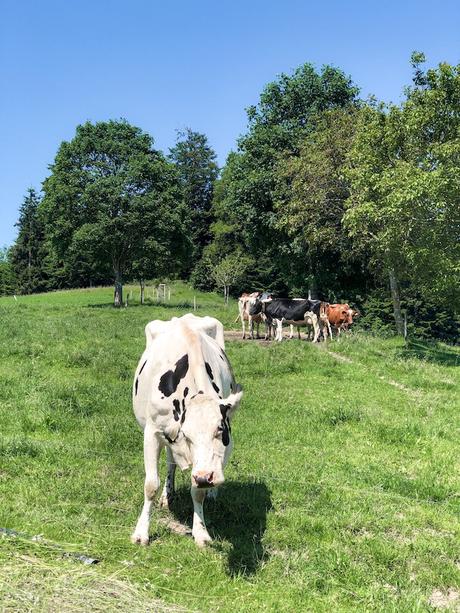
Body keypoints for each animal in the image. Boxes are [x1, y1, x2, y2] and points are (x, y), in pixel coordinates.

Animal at [131, 314, 243, 548]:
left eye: (220, 429)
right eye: (186, 435)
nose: (205, 478)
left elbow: (197, 493)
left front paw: (200, 532)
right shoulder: (152, 432)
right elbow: (151, 484)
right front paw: (141, 532)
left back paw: (212, 493)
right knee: (170, 461)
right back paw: (168, 495)